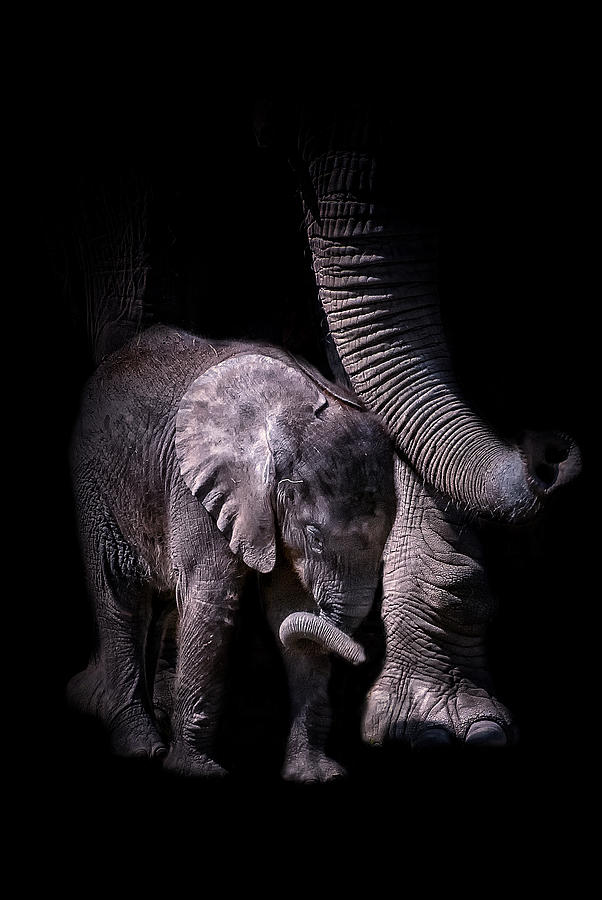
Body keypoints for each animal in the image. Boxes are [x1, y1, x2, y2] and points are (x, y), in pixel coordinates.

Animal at [67, 326, 394, 780]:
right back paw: (142, 749)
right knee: (120, 595)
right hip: (97, 483)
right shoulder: (196, 486)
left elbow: (290, 606)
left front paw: (316, 775)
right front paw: (197, 771)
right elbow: (212, 598)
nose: (364, 658)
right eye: (313, 534)